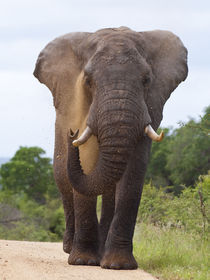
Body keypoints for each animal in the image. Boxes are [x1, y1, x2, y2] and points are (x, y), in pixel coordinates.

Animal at [33, 27, 188, 270]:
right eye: (88, 80)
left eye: (146, 80)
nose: (72, 133)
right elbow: (86, 160)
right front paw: (83, 261)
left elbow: (134, 171)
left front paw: (119, 265)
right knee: (62, 178)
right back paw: (71, 249)